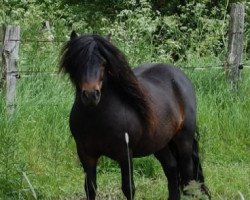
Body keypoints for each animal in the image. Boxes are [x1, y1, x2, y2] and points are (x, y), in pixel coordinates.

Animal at [59, 31, 210, 200]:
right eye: (78, 61)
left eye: (104, 63)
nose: (91, 95)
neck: (96, 118)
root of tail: (180, 77)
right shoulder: (86, 155)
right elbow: (90, 189)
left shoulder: (125, 153)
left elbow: (128, 188)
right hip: (160, 143)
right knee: (171, 168)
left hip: (184, 140)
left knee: (188, 175)